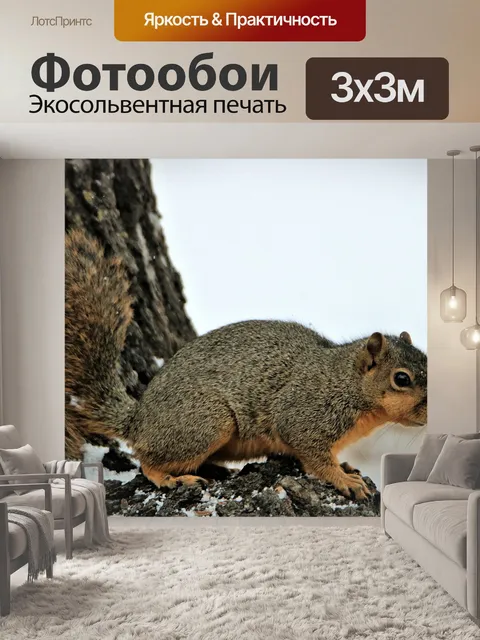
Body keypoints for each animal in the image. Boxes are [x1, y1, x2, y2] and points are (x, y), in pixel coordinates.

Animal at [66, 228, 427, 501]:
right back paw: (171, 478)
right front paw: (343, 479)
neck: (347, 383)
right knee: (148, 461)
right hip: (205, 422)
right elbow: (314, 457)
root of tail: (138, 421)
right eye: (401, 378)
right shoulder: (306, 416)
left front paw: (348, 468)